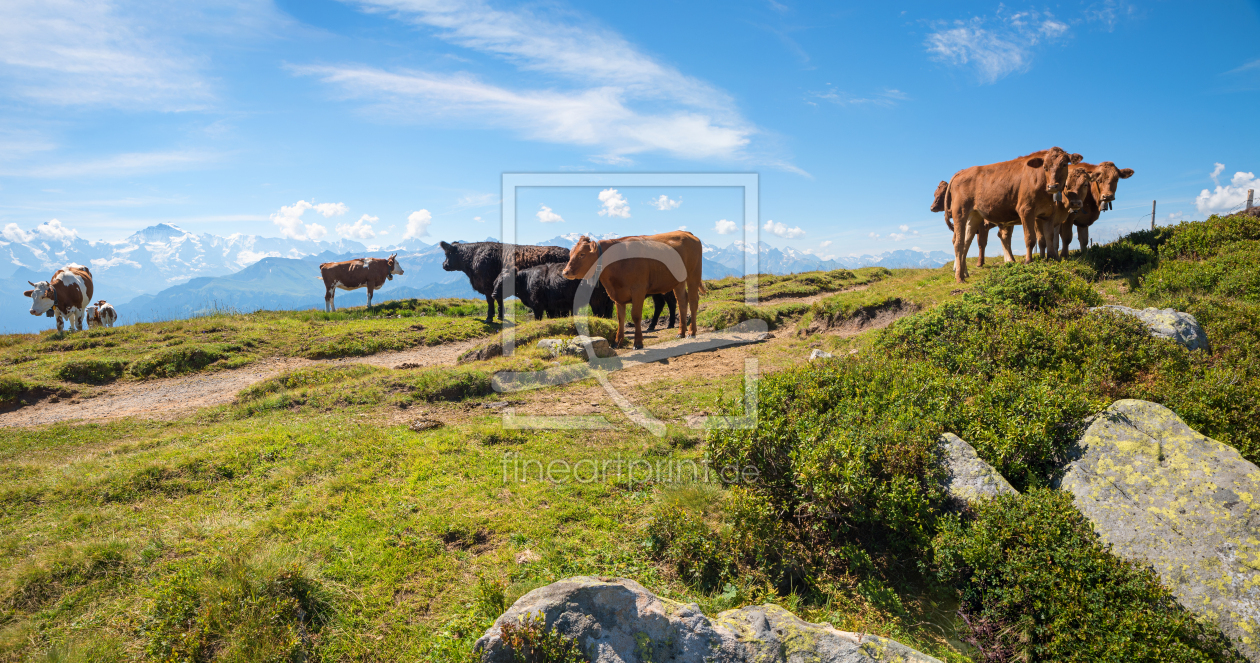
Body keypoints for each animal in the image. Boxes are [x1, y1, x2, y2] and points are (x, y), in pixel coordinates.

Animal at [438, 242, 567, 325]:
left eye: (447, 254)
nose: (444, 265)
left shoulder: (487, 286)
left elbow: (490, 301)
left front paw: (489, 318)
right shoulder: (495, 287)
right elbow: (499, 300)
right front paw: (500, 316)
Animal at [488, 262, 675, 330]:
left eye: (505, 281)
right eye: (495, 280)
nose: (494, 293)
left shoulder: (538, 305)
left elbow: (538, 319)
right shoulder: (551, 307)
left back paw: (669, 324)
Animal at [559, 231, 705, 350]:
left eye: (582, 254)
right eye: (571, 253)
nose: (565, 272)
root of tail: (687, 233)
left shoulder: (638, 290)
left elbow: (635, 316)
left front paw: (638, 343)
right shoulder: (617, 295)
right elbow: (620, 318)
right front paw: (617, 342)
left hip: (693, 275)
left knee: (693, 301)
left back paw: (691, 332)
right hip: (679, 281)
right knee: (682, 302)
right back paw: (681, 332)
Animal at [947, 146, 1083, 282]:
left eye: (1064, 164)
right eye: (1045, 167)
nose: (1052, 186)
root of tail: (962, 171)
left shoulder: (1049, 214)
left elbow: (1049, 236)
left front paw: (1051, 258)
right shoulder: (1026, 210)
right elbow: (1030, 238)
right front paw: (1028, 261)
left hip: (974, 215)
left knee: (966, 242)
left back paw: (964, 273)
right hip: (960, 212)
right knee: (958, 242)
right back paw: (959, 277)